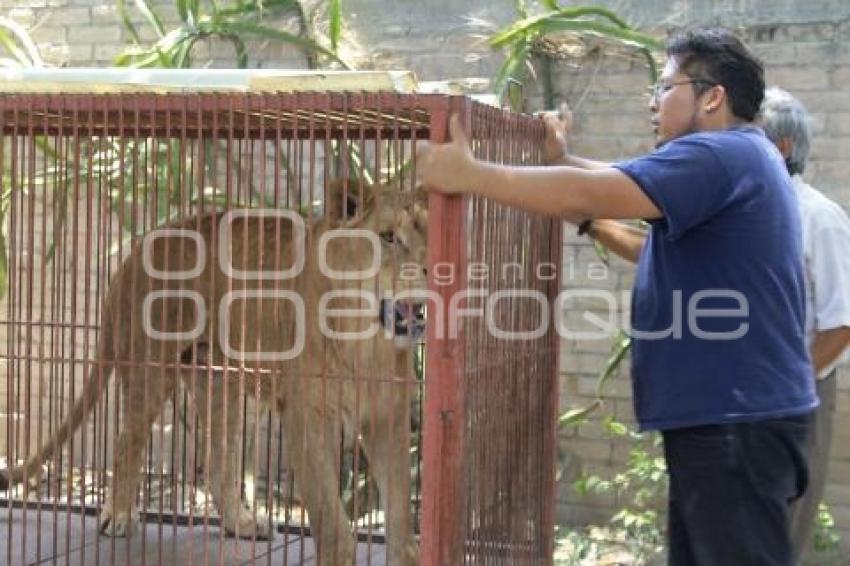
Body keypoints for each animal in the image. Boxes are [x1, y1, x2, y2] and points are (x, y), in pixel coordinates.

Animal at [0, 181, 424, 566]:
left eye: (428, 235)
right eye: (388, 237)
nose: (427, 275)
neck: (367, 341)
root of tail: (134, 251)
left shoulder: (388, 418)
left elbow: (400, 507)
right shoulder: (308, 417)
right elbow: (329, 515)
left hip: (225, 386)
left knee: (218, 461)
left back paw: (243, 523)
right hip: (151, 372)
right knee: (126, 443)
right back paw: (118, 515)